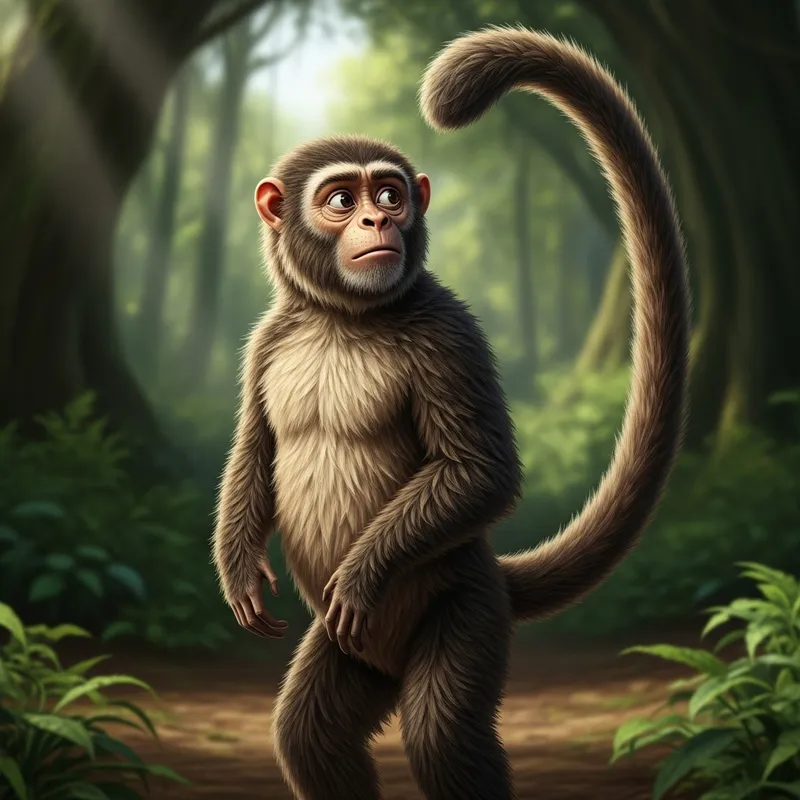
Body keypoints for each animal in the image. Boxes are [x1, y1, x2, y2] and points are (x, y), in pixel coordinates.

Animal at [211, 25, 690, 800]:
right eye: (340, 198)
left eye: (390, 193)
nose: (376, 219)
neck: (343, 319)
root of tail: (493, 570)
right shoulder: (267, 338)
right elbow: (255, 447)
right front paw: (239, 576)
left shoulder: (449, 334)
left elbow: (481, 472)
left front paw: (361, 574)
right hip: (353, 652)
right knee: (311, 735)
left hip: (466, 605)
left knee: (443, 732)